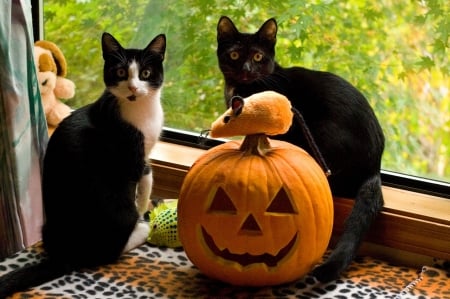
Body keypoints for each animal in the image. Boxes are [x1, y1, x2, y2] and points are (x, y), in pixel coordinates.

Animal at [0, 31, 166, 296]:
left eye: (146, 73)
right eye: (121, 72)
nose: (132, 87)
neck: (140, 110)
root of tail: (67, 253)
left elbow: (148, 170)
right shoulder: (130, 156)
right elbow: (144, 178)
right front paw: (144, 207)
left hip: (49, 228)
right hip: (113, 204)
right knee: (106, 251)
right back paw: (142, 228)